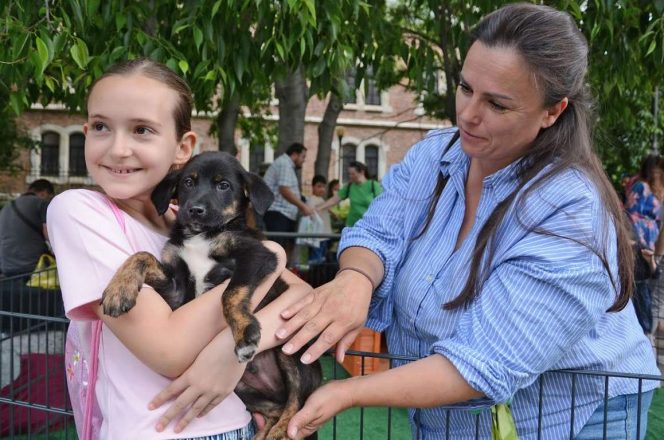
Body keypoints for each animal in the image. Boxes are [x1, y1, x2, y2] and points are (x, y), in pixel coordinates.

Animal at [101, 151, 322, 440]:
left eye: (223, 185)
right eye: (188, 182)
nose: (195, 209)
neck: (201, 235)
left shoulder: (258, 256)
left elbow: (229, 293)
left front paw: (244, 333)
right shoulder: (177, 288)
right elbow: (142, 256)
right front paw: (118, 290)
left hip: (292, 351)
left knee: (297, 406)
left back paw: (280, 433)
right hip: (241, 389)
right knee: (277, 408)